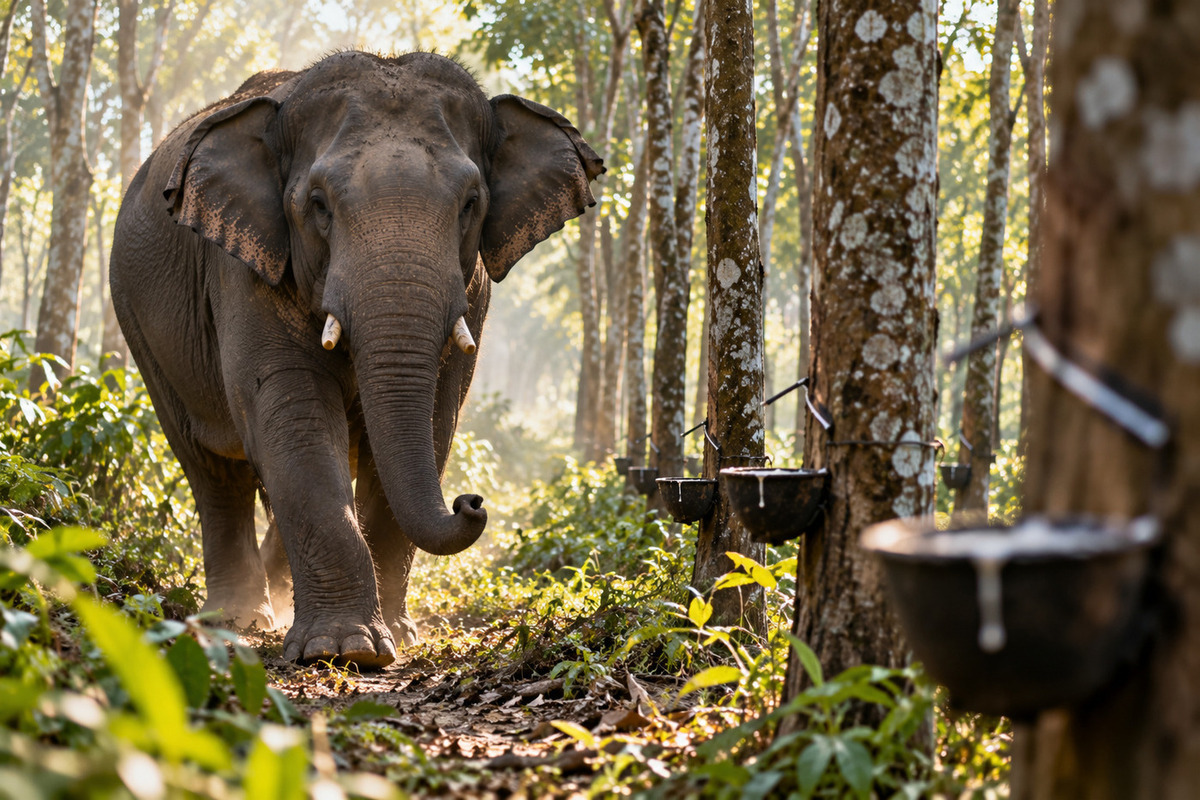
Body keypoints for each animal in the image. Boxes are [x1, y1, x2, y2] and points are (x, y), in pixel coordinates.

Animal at [109, 51, 604, 668]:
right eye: (318, 205)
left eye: (471, 204)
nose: (471, 502)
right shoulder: (244, 270)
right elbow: (292, 416)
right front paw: (343, 650)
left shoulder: (474, 288)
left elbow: (435, 420)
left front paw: (397, 636)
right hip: (140, 326)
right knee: (212, 470)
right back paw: (237, 619)